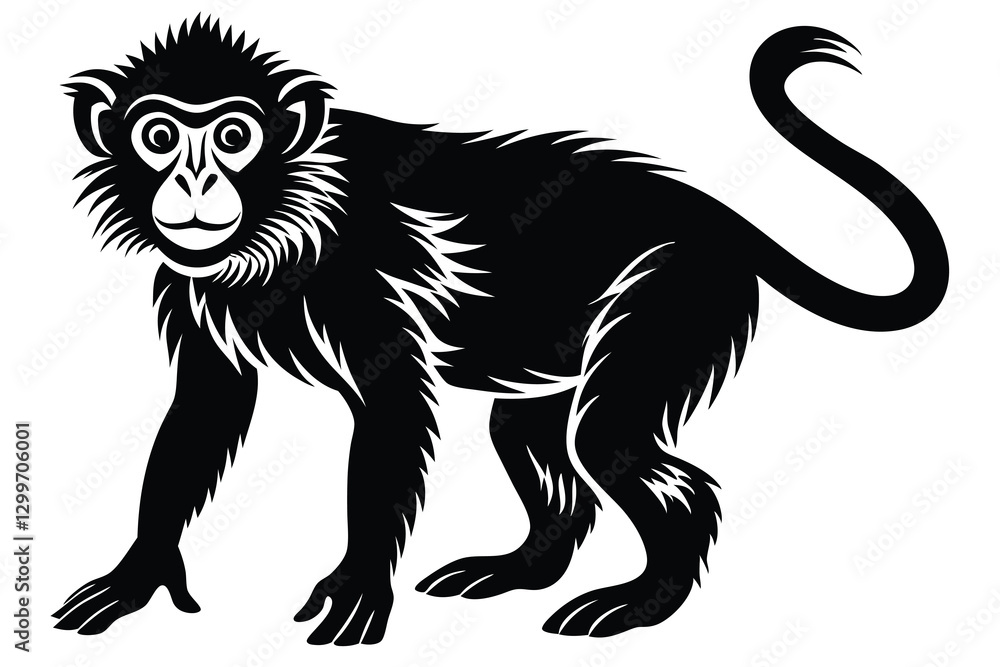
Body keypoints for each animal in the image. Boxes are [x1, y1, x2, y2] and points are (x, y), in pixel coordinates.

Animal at [53, 17, 948, 644]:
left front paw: (357, 584)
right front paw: (139, 572)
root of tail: (709, 212)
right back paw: (524, 566)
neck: (284, 210)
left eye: (234, 136)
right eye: (159, 134)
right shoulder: (194, 289)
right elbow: (205, 409)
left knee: (608, 442)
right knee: (528, 434)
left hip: (676, 290)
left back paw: (642, 602)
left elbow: (390, 407)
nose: (195, 181)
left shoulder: (359, 278)